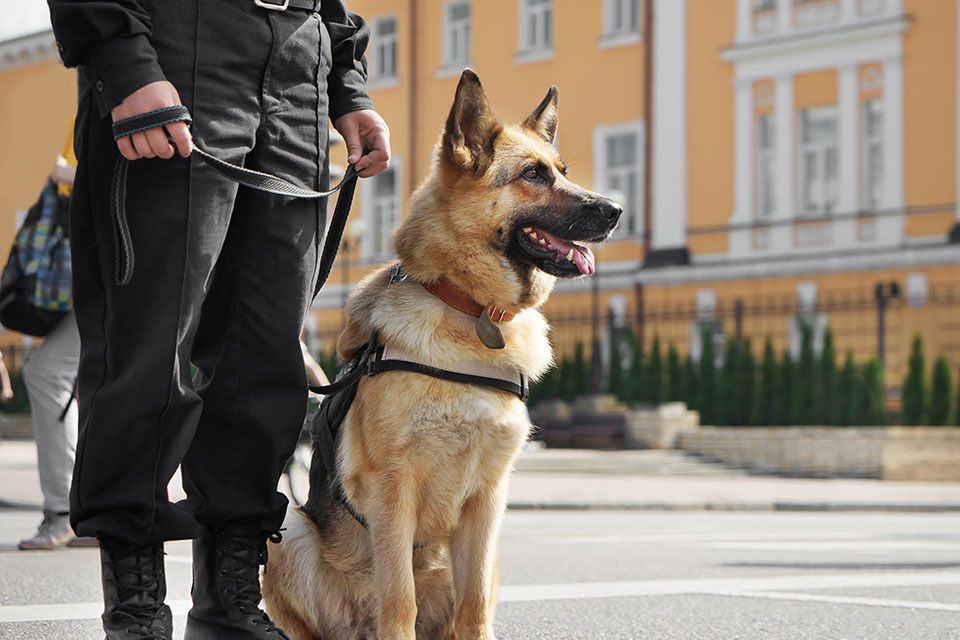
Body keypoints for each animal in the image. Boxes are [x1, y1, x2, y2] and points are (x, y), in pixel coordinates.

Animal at [262, 70, 624, 640]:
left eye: (562, 172)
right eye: (534, 175)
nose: (617, 211)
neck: (469, 309)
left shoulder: (488, 501)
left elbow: (473, 608)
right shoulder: (393, 490)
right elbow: (399, 601)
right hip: (289, 530)